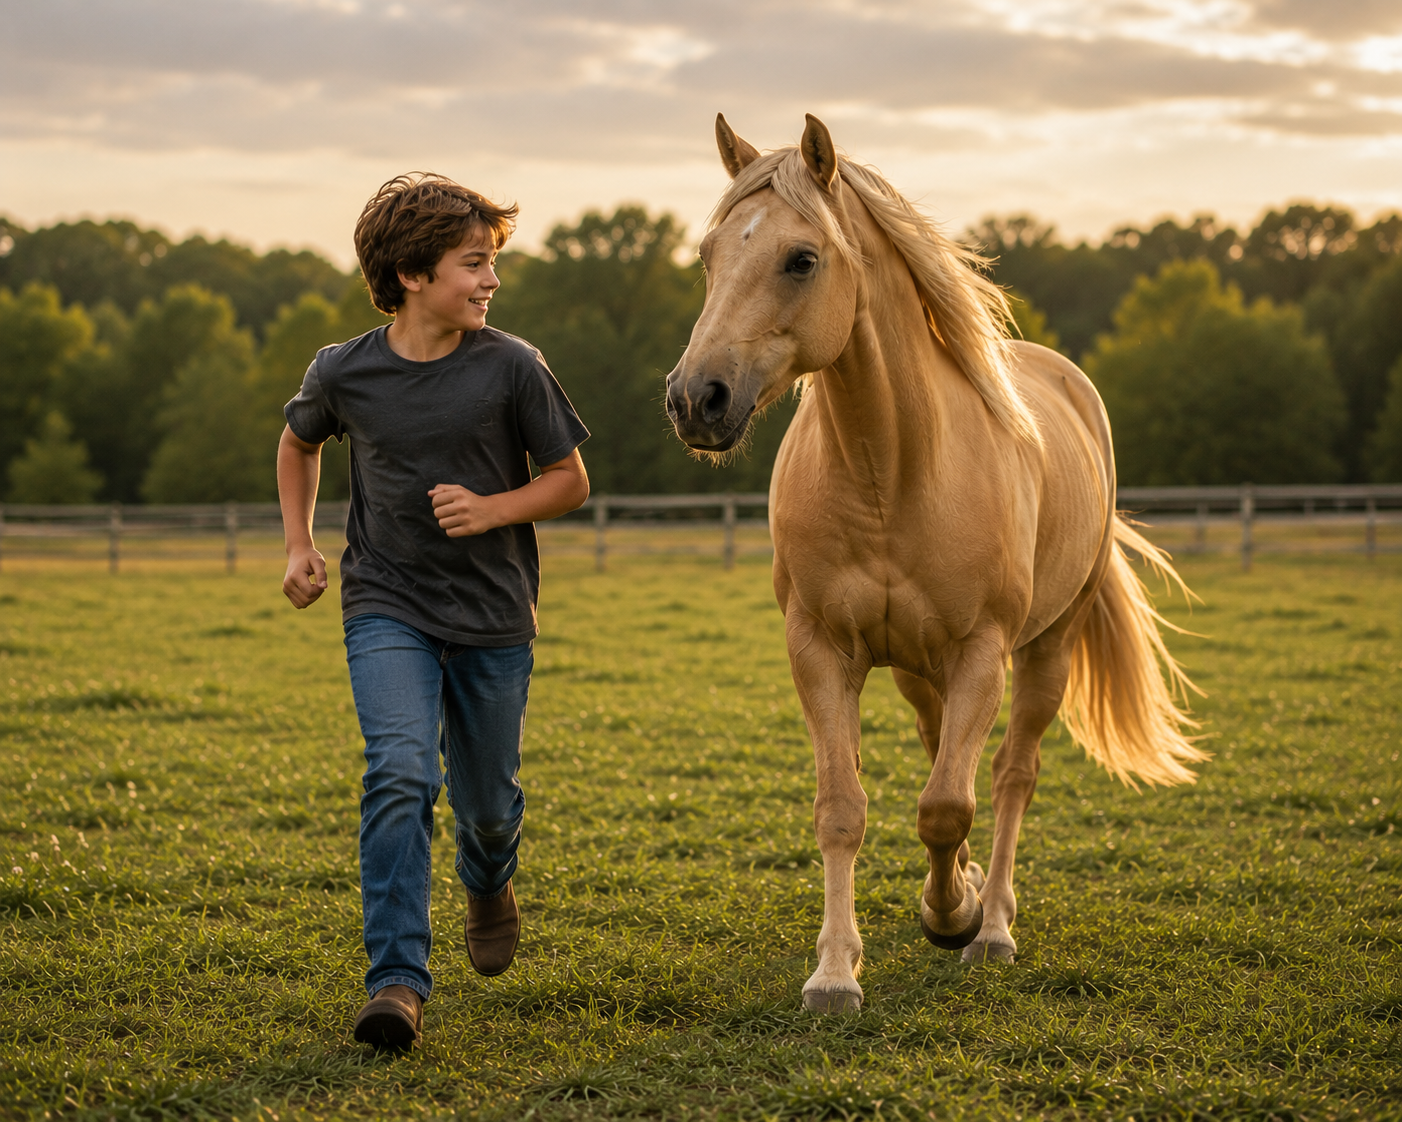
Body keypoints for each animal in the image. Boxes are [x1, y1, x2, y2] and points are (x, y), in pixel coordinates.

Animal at [666, 113, 1206, 1013]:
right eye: (708, 254)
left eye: (800, 258)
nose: (695, 398)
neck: (890, 473)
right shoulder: (822, 651)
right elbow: (843, 808)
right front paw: (835, 972)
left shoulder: (982, 653)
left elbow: (949, 805)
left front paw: (953, 918)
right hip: (920, 670)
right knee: (938, 749)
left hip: (1045, 649)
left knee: (1012, 774)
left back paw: (993, 923)